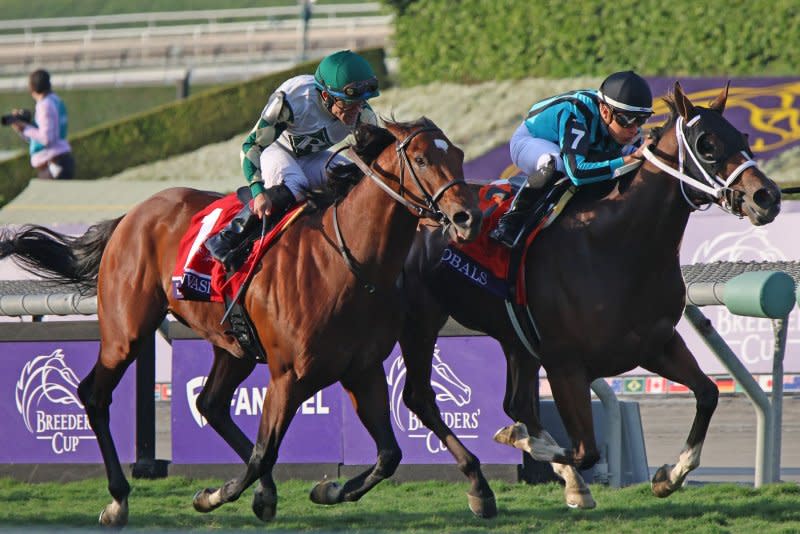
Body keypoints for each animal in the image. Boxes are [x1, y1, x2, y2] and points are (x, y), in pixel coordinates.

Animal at [0, 118, 484, 528]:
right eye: (421, 159)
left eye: (459, 155)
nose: (467, 217)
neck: (349, 260)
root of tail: (132, 215)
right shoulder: (288, 374)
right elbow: (263, 454)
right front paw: (213, 495)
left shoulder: (361, 370)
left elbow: (389, 454)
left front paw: (326, 489)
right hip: (126, 330)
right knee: (95, 395)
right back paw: (118, 500)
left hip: (233, 346)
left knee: (210, 402)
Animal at [394, 81, 780, 508]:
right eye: (706, 144)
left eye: (743, 137)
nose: (767, 197)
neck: (615, 247)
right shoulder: (565, 365)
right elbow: (585, 450)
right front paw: (518, 440)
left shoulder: (656, 344)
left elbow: (708, 393)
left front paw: (669, 475)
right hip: (420, 321)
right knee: (421, 396)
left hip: (515, 338)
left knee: (516, 402)